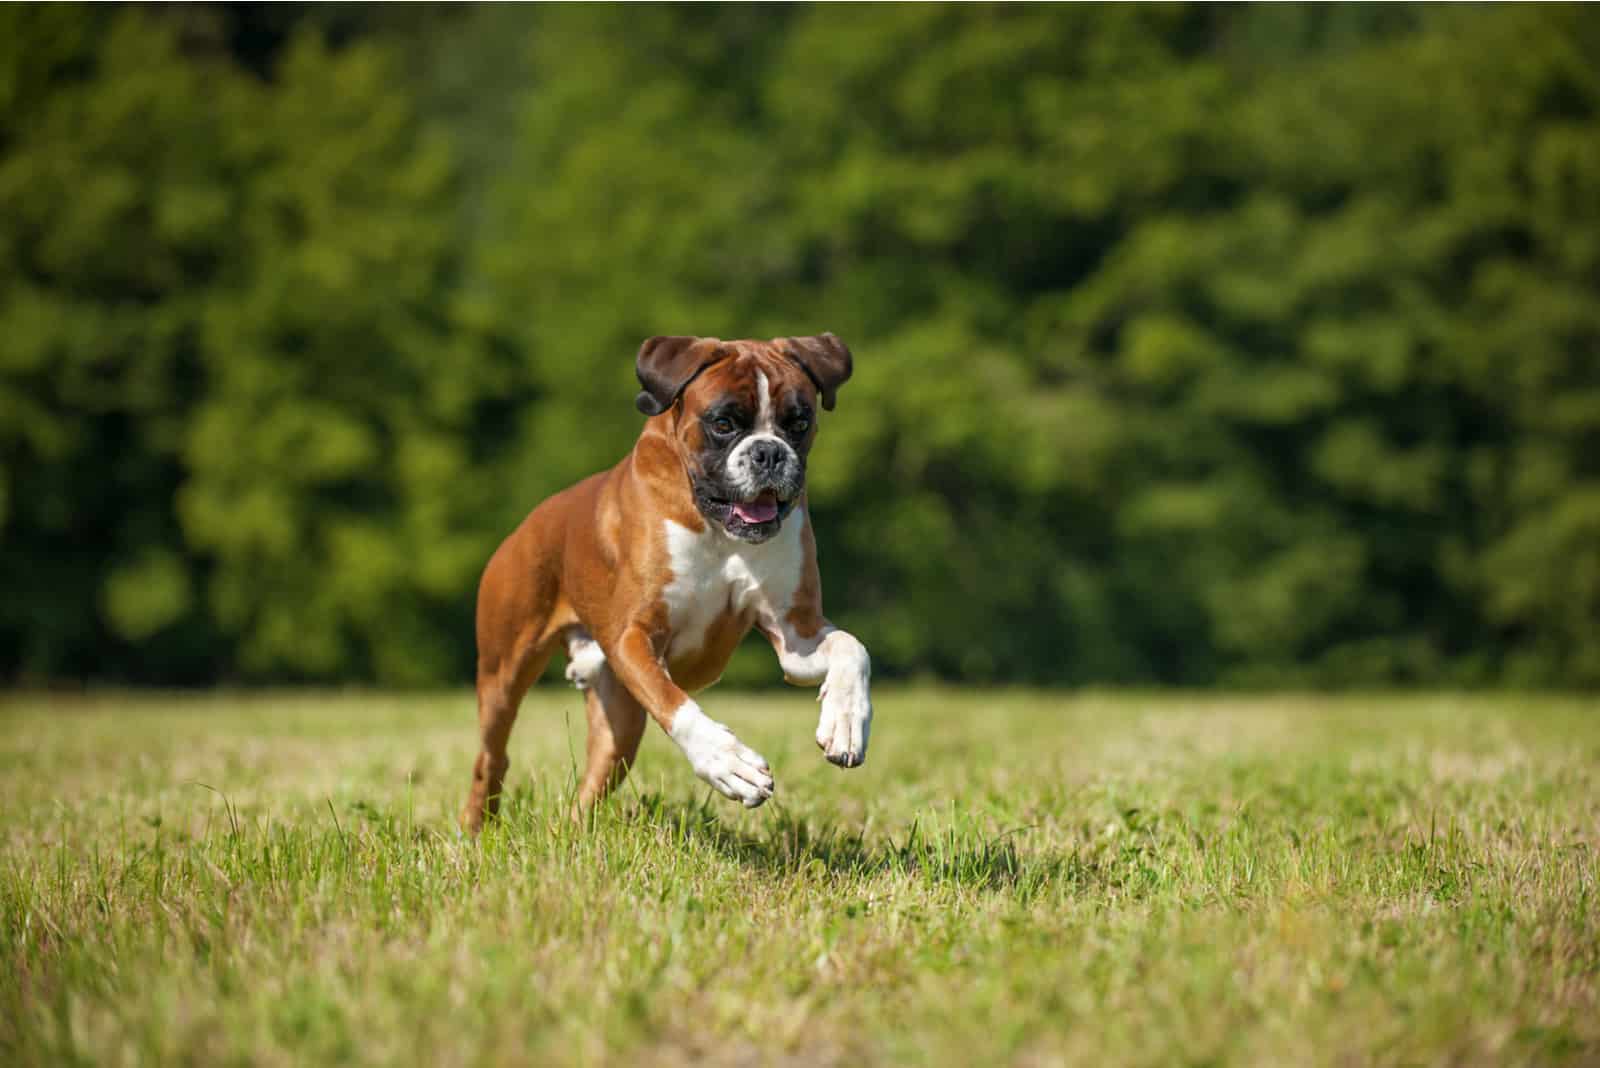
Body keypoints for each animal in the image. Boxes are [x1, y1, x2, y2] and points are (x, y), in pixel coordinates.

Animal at [460, 329, 876, 831]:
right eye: (723, 423)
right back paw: (475, 830)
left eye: (799, 422)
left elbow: (853, 648)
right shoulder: (633, 637)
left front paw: (846, 722)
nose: (769, 453)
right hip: (503, 674)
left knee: (589, 789)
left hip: (618, 728)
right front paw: (727, 761)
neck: (718, 529)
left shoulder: (797, 636)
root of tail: (528, 523)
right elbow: (675, 704)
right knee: (491, 757)